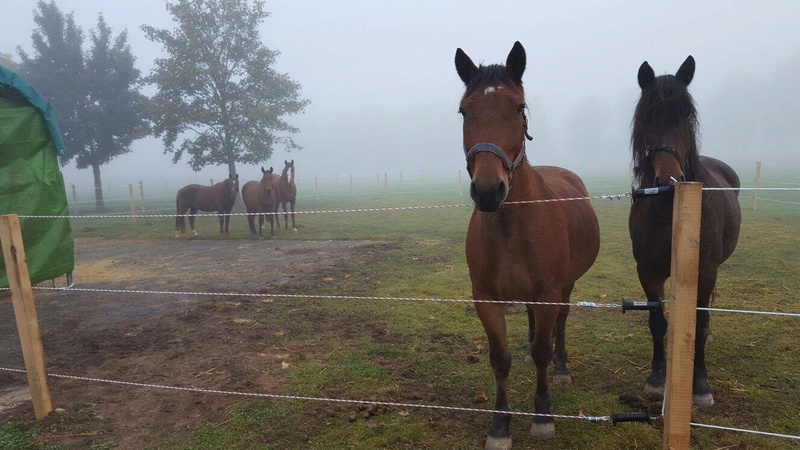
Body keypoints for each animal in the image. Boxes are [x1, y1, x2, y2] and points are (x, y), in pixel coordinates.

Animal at [456, 41, 600, 446]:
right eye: (464, 110)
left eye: (519, 107)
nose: (488, 190)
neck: (511, 224)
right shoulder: (486, 299)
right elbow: (500, 358)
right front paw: (500, 425)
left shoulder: (550, 291)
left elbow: (542, 352)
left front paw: (542, 416)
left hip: (565, 286)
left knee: (559, 325)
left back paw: (561, 366)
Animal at [624, 56, 744, 408]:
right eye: (647, 117)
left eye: (686, 117)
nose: (668, 180)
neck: (668, 214)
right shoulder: (648, 272)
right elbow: (657, 322)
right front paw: (657, 377)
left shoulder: (704, 272)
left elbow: (699, 324)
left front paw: (700, 384)